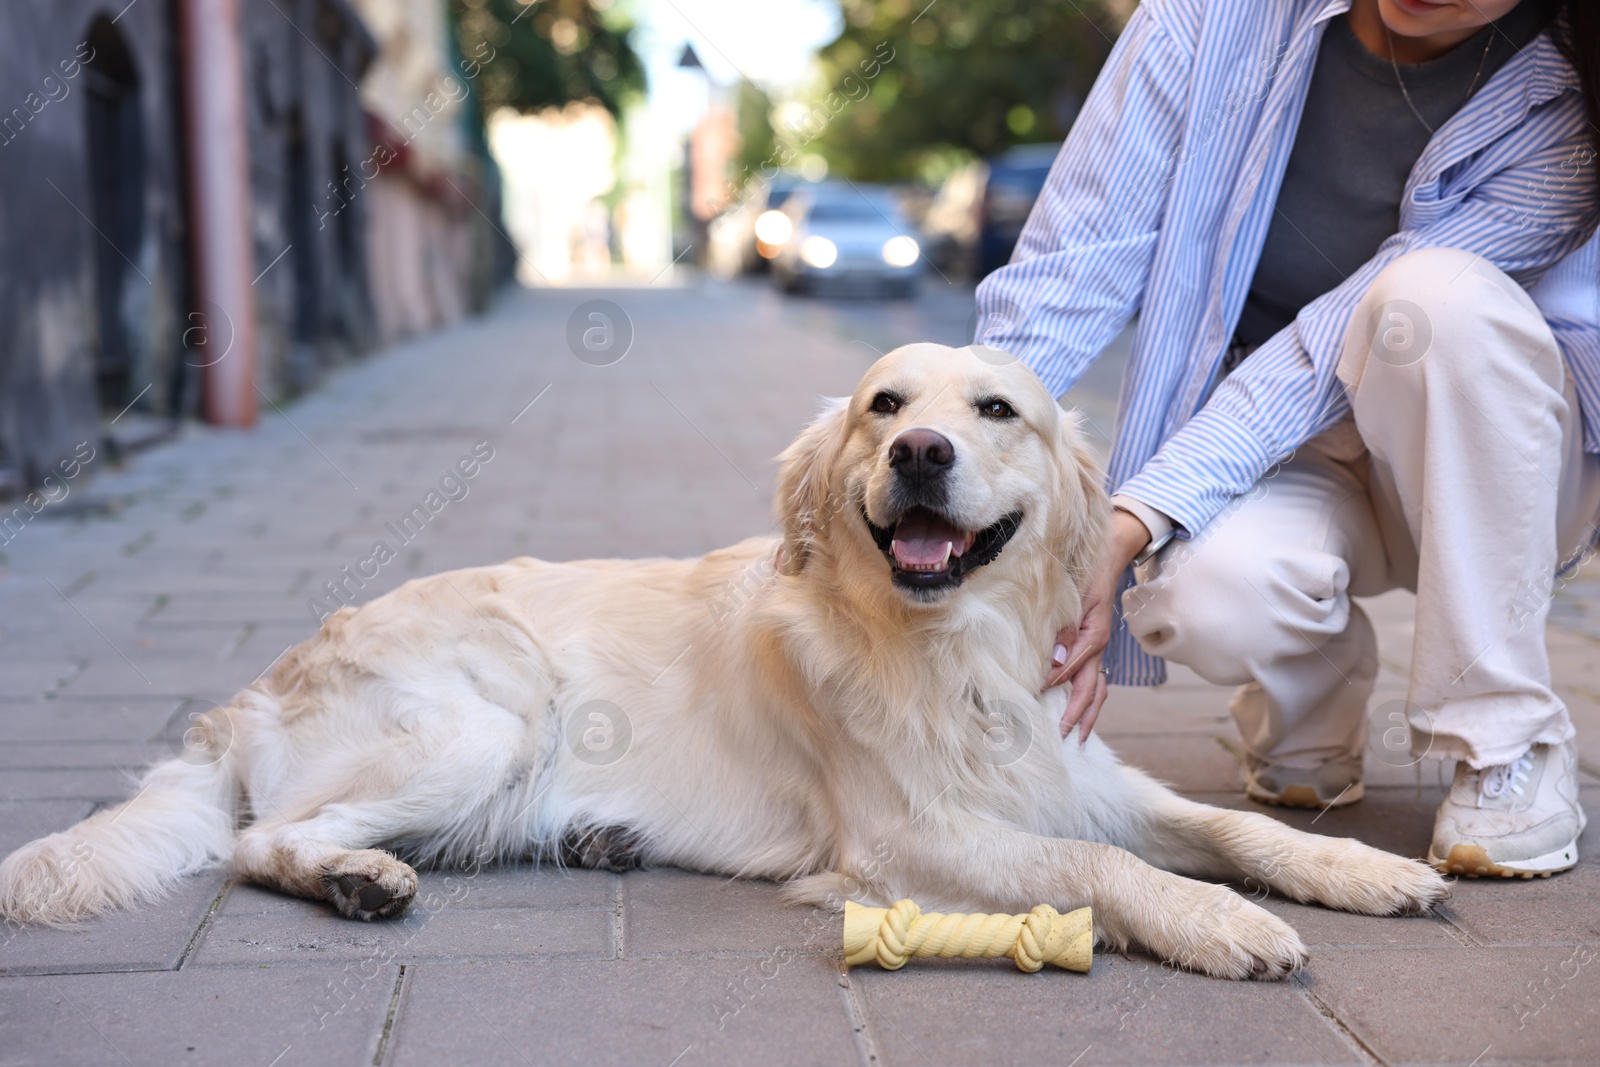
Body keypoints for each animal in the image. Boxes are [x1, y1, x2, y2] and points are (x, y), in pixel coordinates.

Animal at [0, 347, 1446, 979]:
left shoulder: (1078, 771)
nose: (920, 451)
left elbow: (1223, 824)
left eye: (996, 410)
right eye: (883, 404)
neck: (949, 647)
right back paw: (360, 879)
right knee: (264, 840)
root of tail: (252, 689)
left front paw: (1359, 868)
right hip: (486, 720)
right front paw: (1223, 923)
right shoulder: (911, 836)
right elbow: (1106, 869)